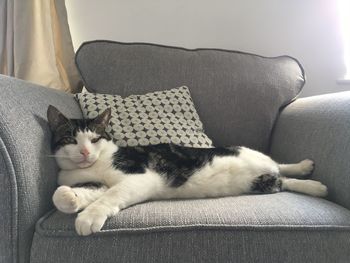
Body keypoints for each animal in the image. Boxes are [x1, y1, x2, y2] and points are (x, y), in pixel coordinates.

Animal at [47, 105, 328, 237]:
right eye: (71, 140)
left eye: (95, 139)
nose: (85, 153)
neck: (95, 165)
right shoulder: (95, 182)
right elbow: (73, 193)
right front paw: (70, 197)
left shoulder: (139, 177)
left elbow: (110, 195)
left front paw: (88, 217)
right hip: (263, 182)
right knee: (284, 179)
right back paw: (313, 183)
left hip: (252, 157)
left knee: (279, 166)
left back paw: (309, 172)